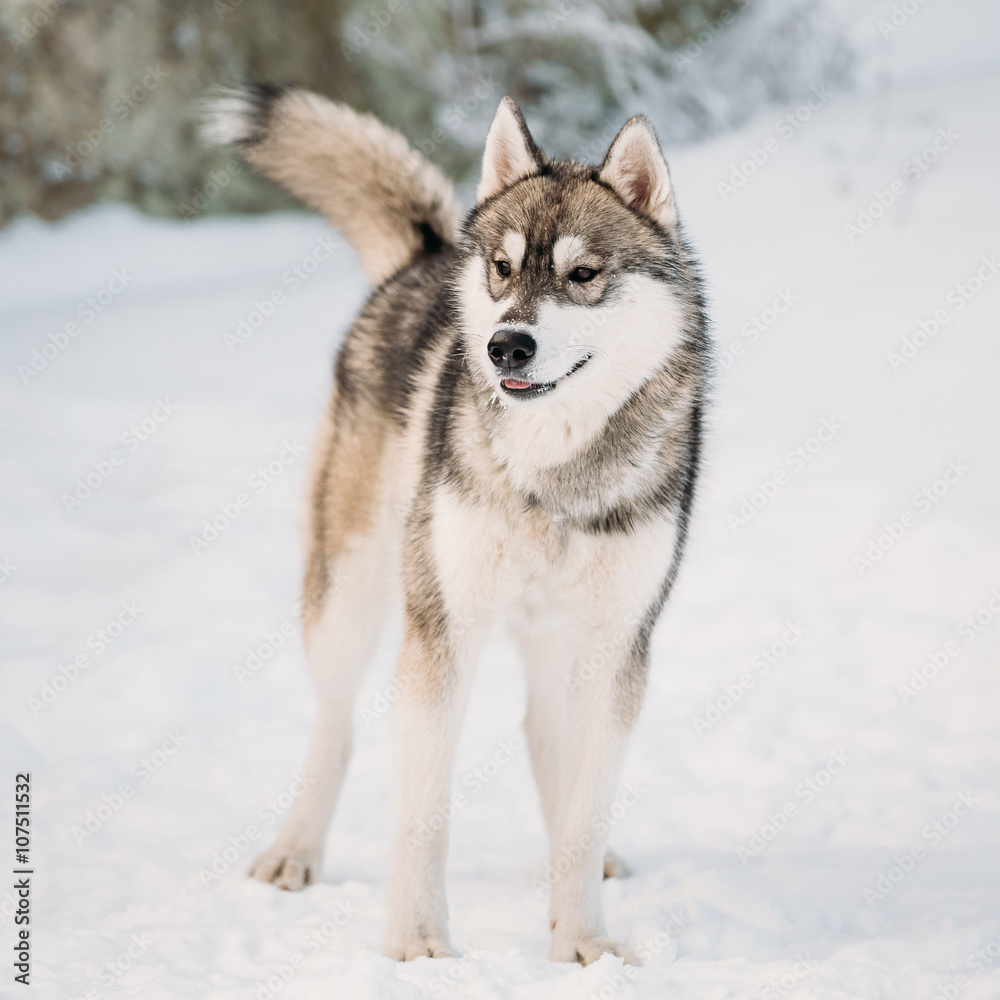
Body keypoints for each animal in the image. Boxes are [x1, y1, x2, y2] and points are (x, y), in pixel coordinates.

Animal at [203, 88, 708, 968]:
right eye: (503, 269)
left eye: (582, 275)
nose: (506, 343)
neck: (552, 476)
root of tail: (426, 256)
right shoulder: (443, 629)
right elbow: (424, 815)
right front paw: (416, 946)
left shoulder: (617, 646)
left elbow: (584, 815)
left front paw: (582, 943)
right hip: (350, 596)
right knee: (335, 727)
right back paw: (295, 852)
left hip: (553, 639)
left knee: (546, 737)